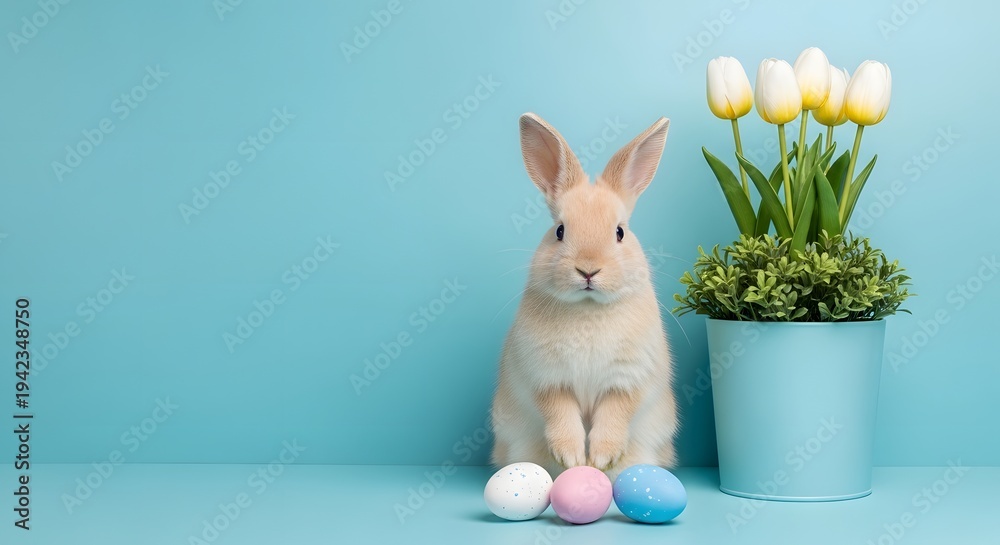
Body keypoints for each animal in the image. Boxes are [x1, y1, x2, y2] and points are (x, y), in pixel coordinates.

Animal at [490, 113, 679, 481]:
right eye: (560, 231)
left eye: (620, 232)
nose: (588, 270)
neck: (588, 308)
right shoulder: (548, 379)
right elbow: (560, 414)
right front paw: (572, 458)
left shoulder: (626, 381)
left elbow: (615, 414)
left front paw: (601, 458)